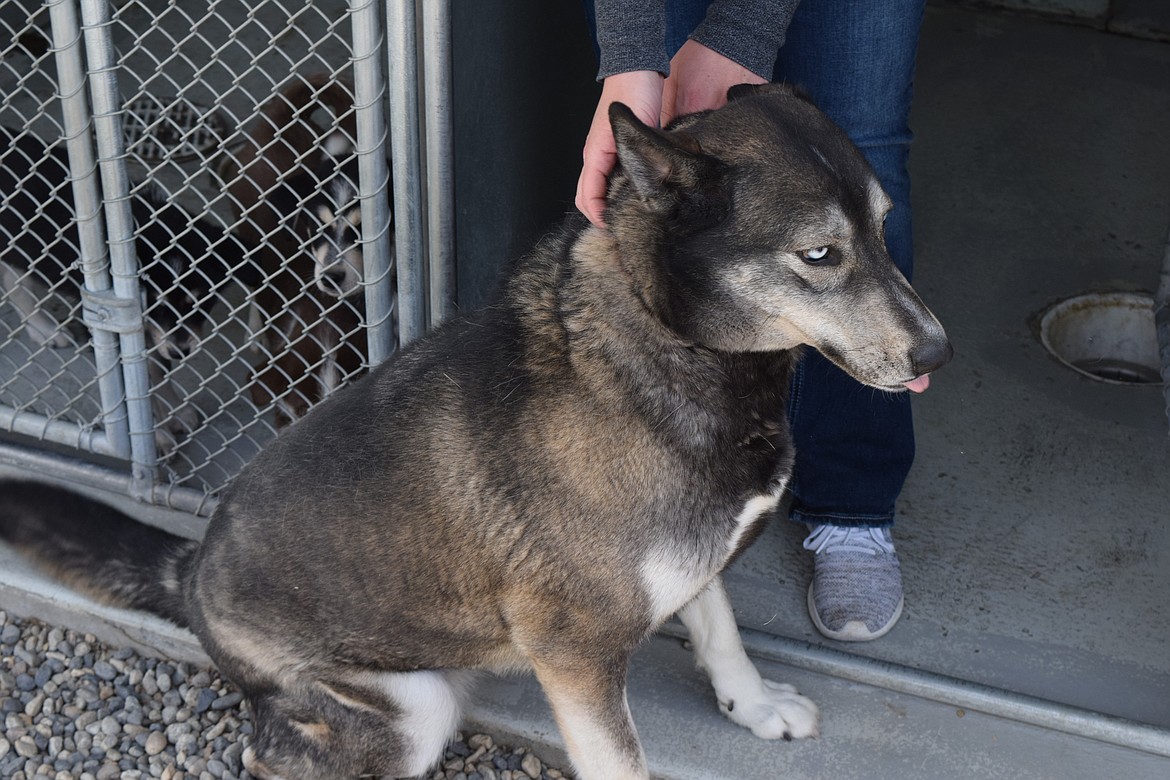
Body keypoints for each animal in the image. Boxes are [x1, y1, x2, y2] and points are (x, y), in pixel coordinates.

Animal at [0, 123, 238, 451]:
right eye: (154, 302)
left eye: (201, 302)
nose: (181, 352)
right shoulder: (105, 318)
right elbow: (136, 384)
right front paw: (157, 436)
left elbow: (156, 370)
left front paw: (175, 411)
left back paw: (42, 328)